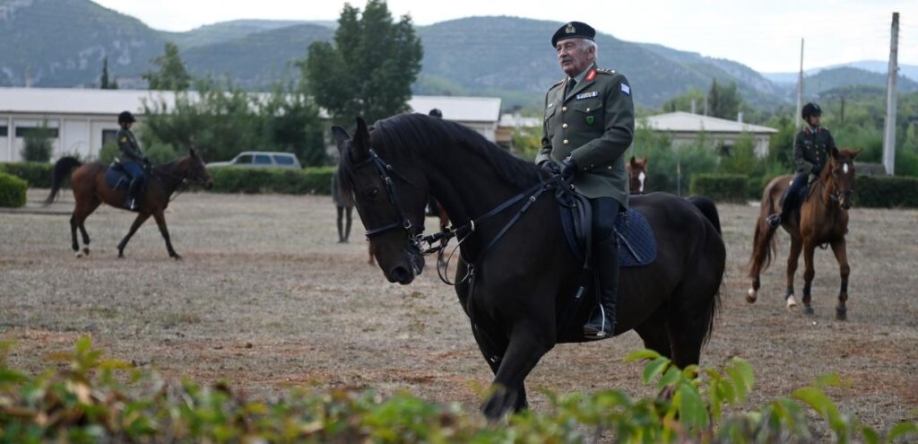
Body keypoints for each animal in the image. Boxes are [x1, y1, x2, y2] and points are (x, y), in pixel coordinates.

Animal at [334, 114, 728, 420]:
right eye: (354, 195)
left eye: (371, 192)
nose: (397, 269)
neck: (500, 226)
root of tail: (694, 210)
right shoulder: (489, 336)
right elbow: (515, 408)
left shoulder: (533, 335)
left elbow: (492, 408)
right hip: (653, 323)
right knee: (672, 381)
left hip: (687, 319)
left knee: (688, 379)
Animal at [748, 148, 864, 320]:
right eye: (836, 172)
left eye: (853, 171)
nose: (846, 203)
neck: (829, 206)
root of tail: (773, 181)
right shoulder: (809, 242)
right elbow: (809, 271)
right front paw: (807, 303)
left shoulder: (838, 240)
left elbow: (845, 269)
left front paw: (841, 307)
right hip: (768, 227)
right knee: (760, 254)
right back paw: (752, 292)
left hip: (796, 237)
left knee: (791, 264)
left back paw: (790, 299)